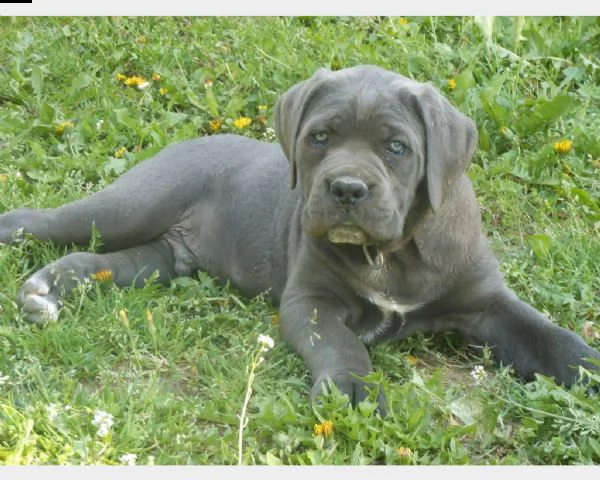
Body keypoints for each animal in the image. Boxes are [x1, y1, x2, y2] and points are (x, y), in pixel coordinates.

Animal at [1, 65, 600, 414]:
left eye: (397, 147)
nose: (347, 188)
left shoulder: (487, 303)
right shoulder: (310, 301)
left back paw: (47, 291)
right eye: (320, 137)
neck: (390, 254)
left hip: (160, 260)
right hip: (132, 205)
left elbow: (551, 337)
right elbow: (342, 343)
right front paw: (353, 390)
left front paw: (588, 367)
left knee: (99, 260)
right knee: (54, 222)